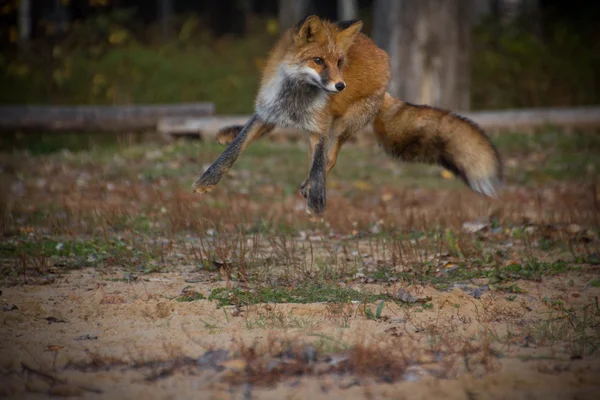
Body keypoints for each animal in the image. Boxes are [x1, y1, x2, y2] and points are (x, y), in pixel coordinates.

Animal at [193, 14, 502, 216]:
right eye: (318, 61)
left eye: (339, 62)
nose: (340, 86)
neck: (296, 101)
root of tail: (382, 55)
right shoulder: (266, 112)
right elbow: (234, 149)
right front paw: (207, 180)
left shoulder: (320, 128)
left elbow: (320, 165)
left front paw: (317, 199)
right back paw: (227, 131)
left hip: (342, 126)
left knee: (330, 158)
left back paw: (309, 187)